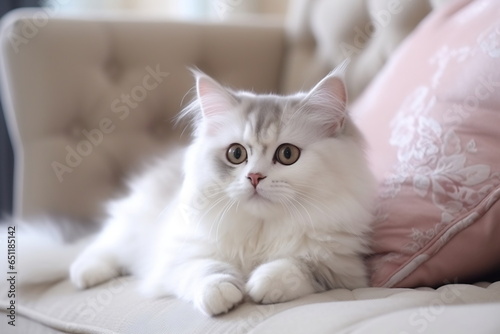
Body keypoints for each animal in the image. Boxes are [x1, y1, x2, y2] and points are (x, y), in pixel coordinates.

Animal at [22, 66, 376, 316]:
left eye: (287, 154)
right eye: (236, 154)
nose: (255, 177)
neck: (259, 230)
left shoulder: (341, 269)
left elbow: (296, 266)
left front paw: (261, 284)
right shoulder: (181, 254)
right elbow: (205, 269)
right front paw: (223, 292)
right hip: (131, 225)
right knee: (100, 247)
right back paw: (86, 273)